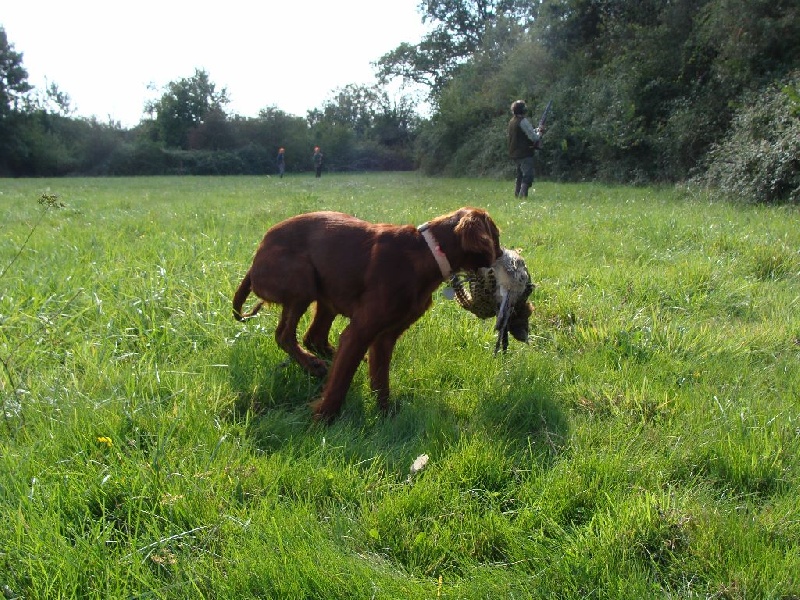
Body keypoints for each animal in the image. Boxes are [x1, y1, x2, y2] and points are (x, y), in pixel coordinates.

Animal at [234, 206, 504, 422]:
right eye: (496, 236)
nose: (503, 256)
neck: (427, 252)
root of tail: (255, 260)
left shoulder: (386, 336)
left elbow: (380, 378)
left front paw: (386, 414)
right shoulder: (360, 331)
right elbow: (342, 379)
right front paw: (322, 419)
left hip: (327, 295)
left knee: (313, 337)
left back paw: (321, 361)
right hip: (302, 280)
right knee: (284, 336)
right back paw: (313, 365)